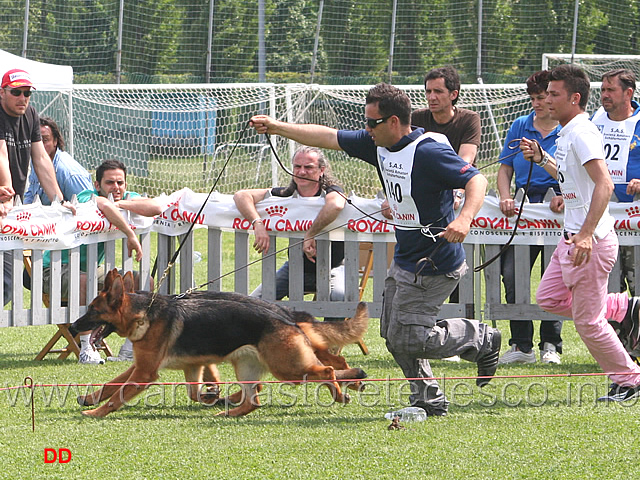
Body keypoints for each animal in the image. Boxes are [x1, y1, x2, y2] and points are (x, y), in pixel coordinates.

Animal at [70, 270, 368, 416]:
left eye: (92, 311)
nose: (72, 326)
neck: (143, 313)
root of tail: (286, 317)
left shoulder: (145, 373)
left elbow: (117, 396)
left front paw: (96, 412)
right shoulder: (165, 367)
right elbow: (112, 384)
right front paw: (90, 399)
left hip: (287, 368)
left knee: (328, 369)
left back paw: (342, 391)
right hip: (249, 366)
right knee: (254, 399)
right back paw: (227, 412)